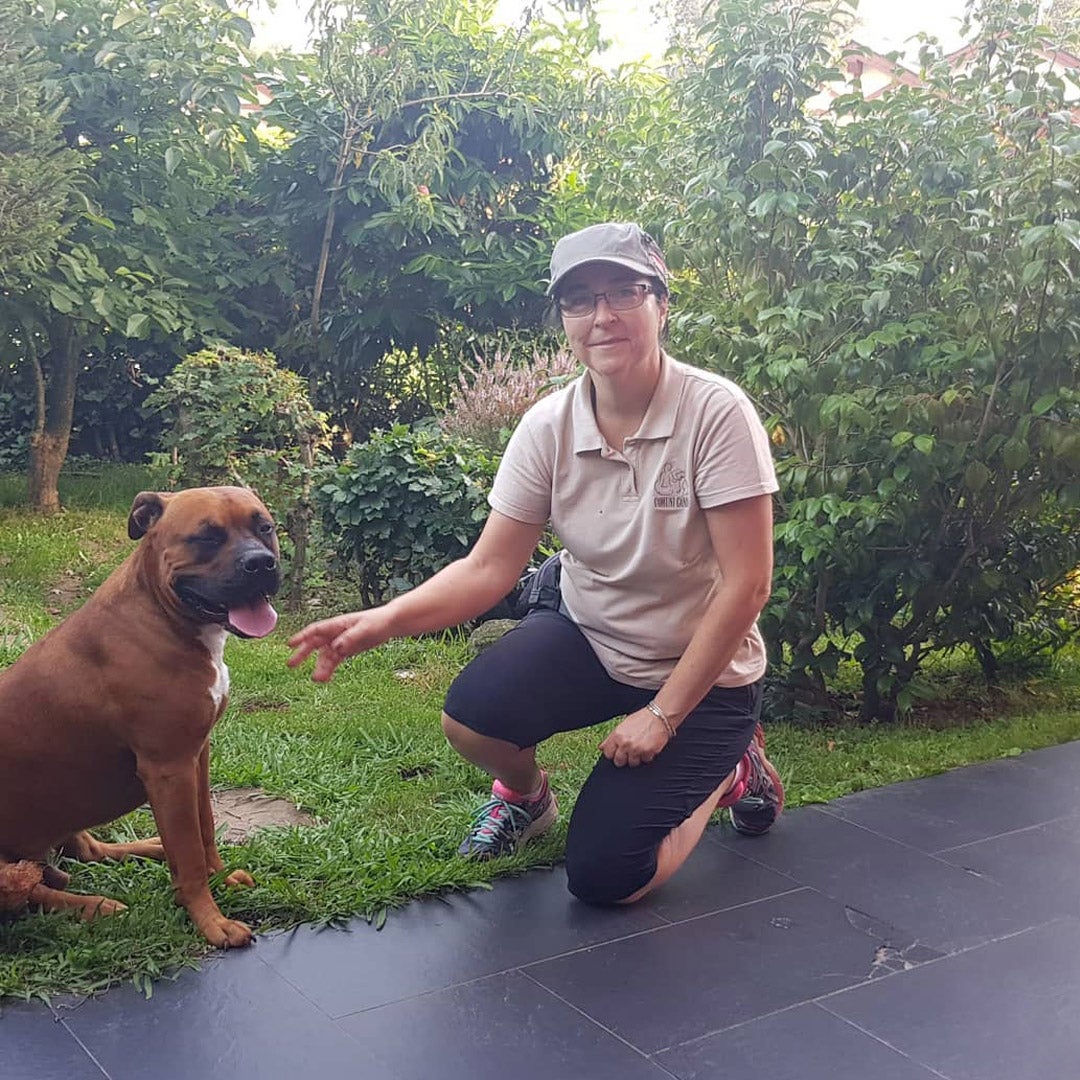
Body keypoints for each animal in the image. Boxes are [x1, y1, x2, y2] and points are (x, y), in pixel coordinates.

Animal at [0, 486, 282, 950]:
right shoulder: (168, 768)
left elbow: (203, 831)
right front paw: (211, 920)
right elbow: (188, 852)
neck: (161, 615)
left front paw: (220, 877)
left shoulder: (196, 757)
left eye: (265, 528)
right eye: (206, 537)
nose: (260, 562)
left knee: (87, 853)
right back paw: (94, 906)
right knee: (29, 891)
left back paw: (148, 848)